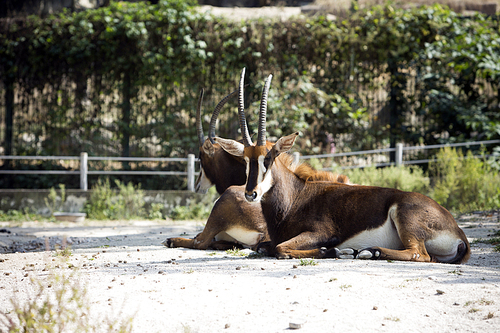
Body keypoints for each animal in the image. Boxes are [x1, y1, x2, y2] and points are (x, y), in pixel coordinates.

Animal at [216, 68, 472, 264]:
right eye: (245, 160)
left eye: (267, 159)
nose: (251, 193)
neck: (295, 197)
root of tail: (459, 232)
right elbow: (264, 247)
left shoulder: (320, 232)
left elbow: (281, 248)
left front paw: (335, 250)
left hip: (404, 217)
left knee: (419, 254)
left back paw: (368, 251)